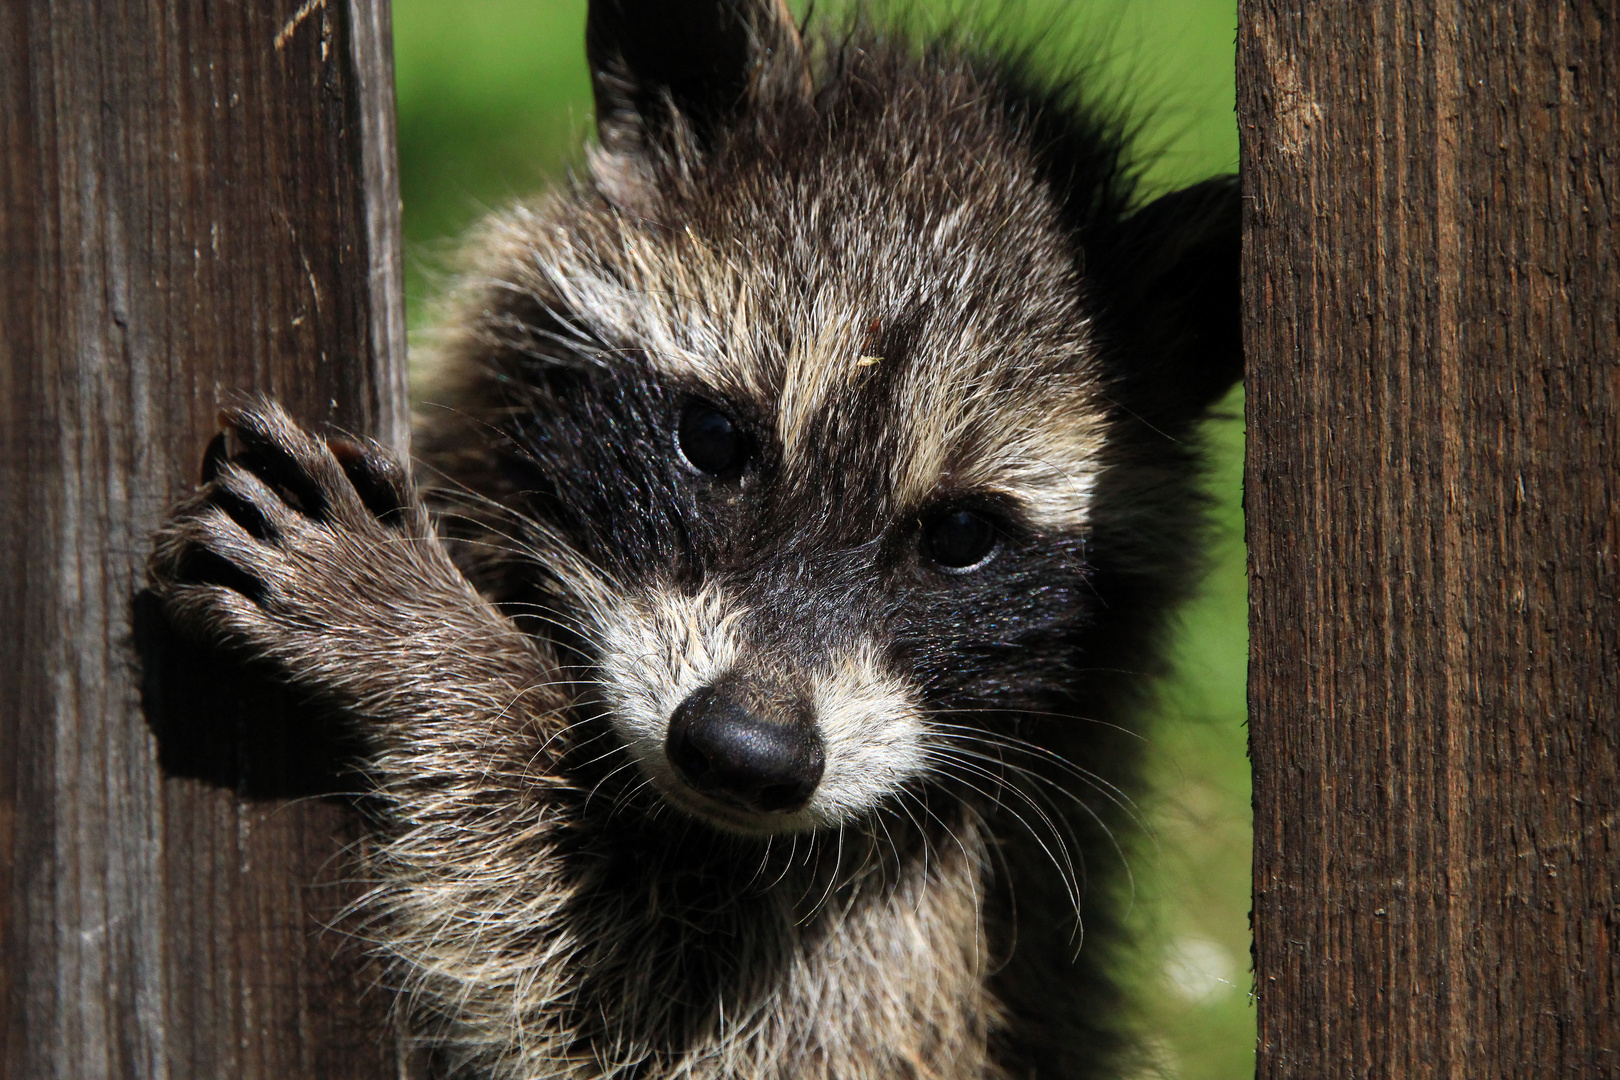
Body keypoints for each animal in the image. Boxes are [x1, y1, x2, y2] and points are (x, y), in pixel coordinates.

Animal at [152, 2, 1237, 1080]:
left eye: (964, 534)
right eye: (713, 439)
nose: (742, 753)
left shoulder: (936, 939)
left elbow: (649, 1005)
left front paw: (437, 653)